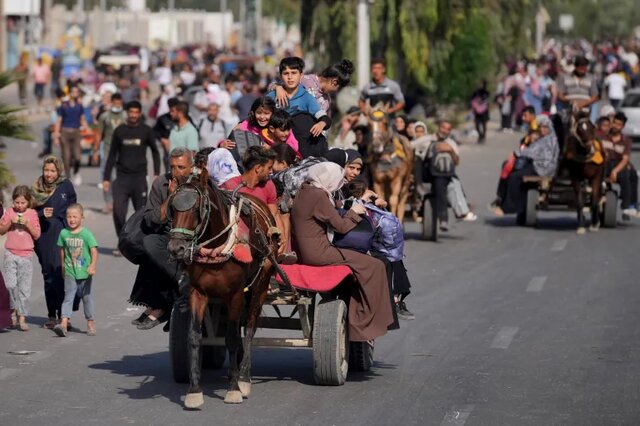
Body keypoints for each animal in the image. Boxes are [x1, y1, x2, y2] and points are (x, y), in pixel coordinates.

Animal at [168, 166, 280, 406]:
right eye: (172, 207)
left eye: (197, 209)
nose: (176, 248)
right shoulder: (197, 292)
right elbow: (194, 336)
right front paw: (194, 390)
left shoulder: (236, 293)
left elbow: (232, 338)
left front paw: (234, 389)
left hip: (260, 283)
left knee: (249, 327)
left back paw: (244, 377)